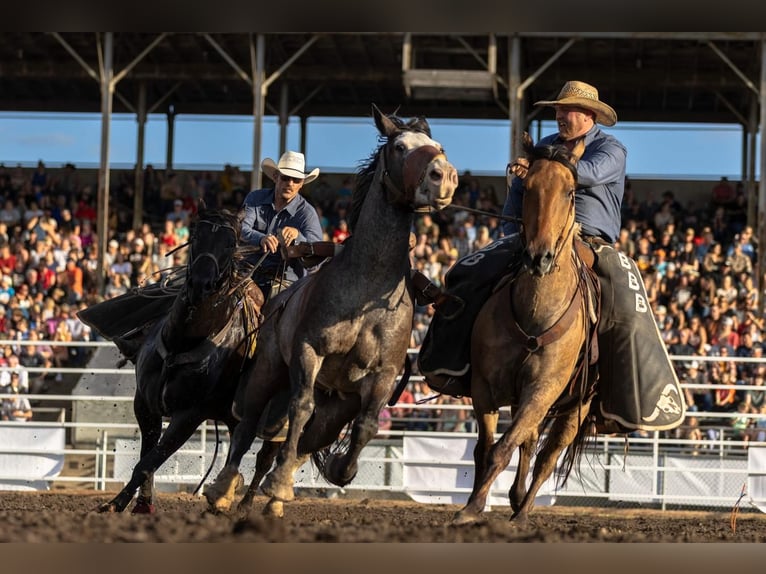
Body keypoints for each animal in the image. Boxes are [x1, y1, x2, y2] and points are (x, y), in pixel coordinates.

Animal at [80, 205, 266, 516]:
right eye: (195, 236)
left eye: (231, 244)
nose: (200, 284)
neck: (185, 340)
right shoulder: (145, 404)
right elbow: (147, 457)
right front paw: (139, 504)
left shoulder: (190, 415)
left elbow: (148, 463)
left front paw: (116, 504)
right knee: (237, 450)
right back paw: (222, 498)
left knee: (269, 457)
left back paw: (246, 504)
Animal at [204, 103, 460, 516]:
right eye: (400, 147)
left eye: (438, 147)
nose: (445, 177)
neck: (368, 281)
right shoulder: (310, 351)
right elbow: (300, 406)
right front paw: (278, 482)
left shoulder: (382, 376)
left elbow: (366, 427)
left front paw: (340, 470)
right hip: (270, 369)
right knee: (248, 425)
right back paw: (224, 489)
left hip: (336, 404)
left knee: (290, 443)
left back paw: (267, 500)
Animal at [452, 135, 604, 532]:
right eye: (529, 188)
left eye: (570, 192)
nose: (540, 257)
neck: (536, 315)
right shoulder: (485, 387)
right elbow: (486, 448)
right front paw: (472, 507)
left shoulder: (542, 390)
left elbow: (504, 448)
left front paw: (479, 507)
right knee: (530, 441)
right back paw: (516, 497)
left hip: (576, 407)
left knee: (547, 457)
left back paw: (522, 512)